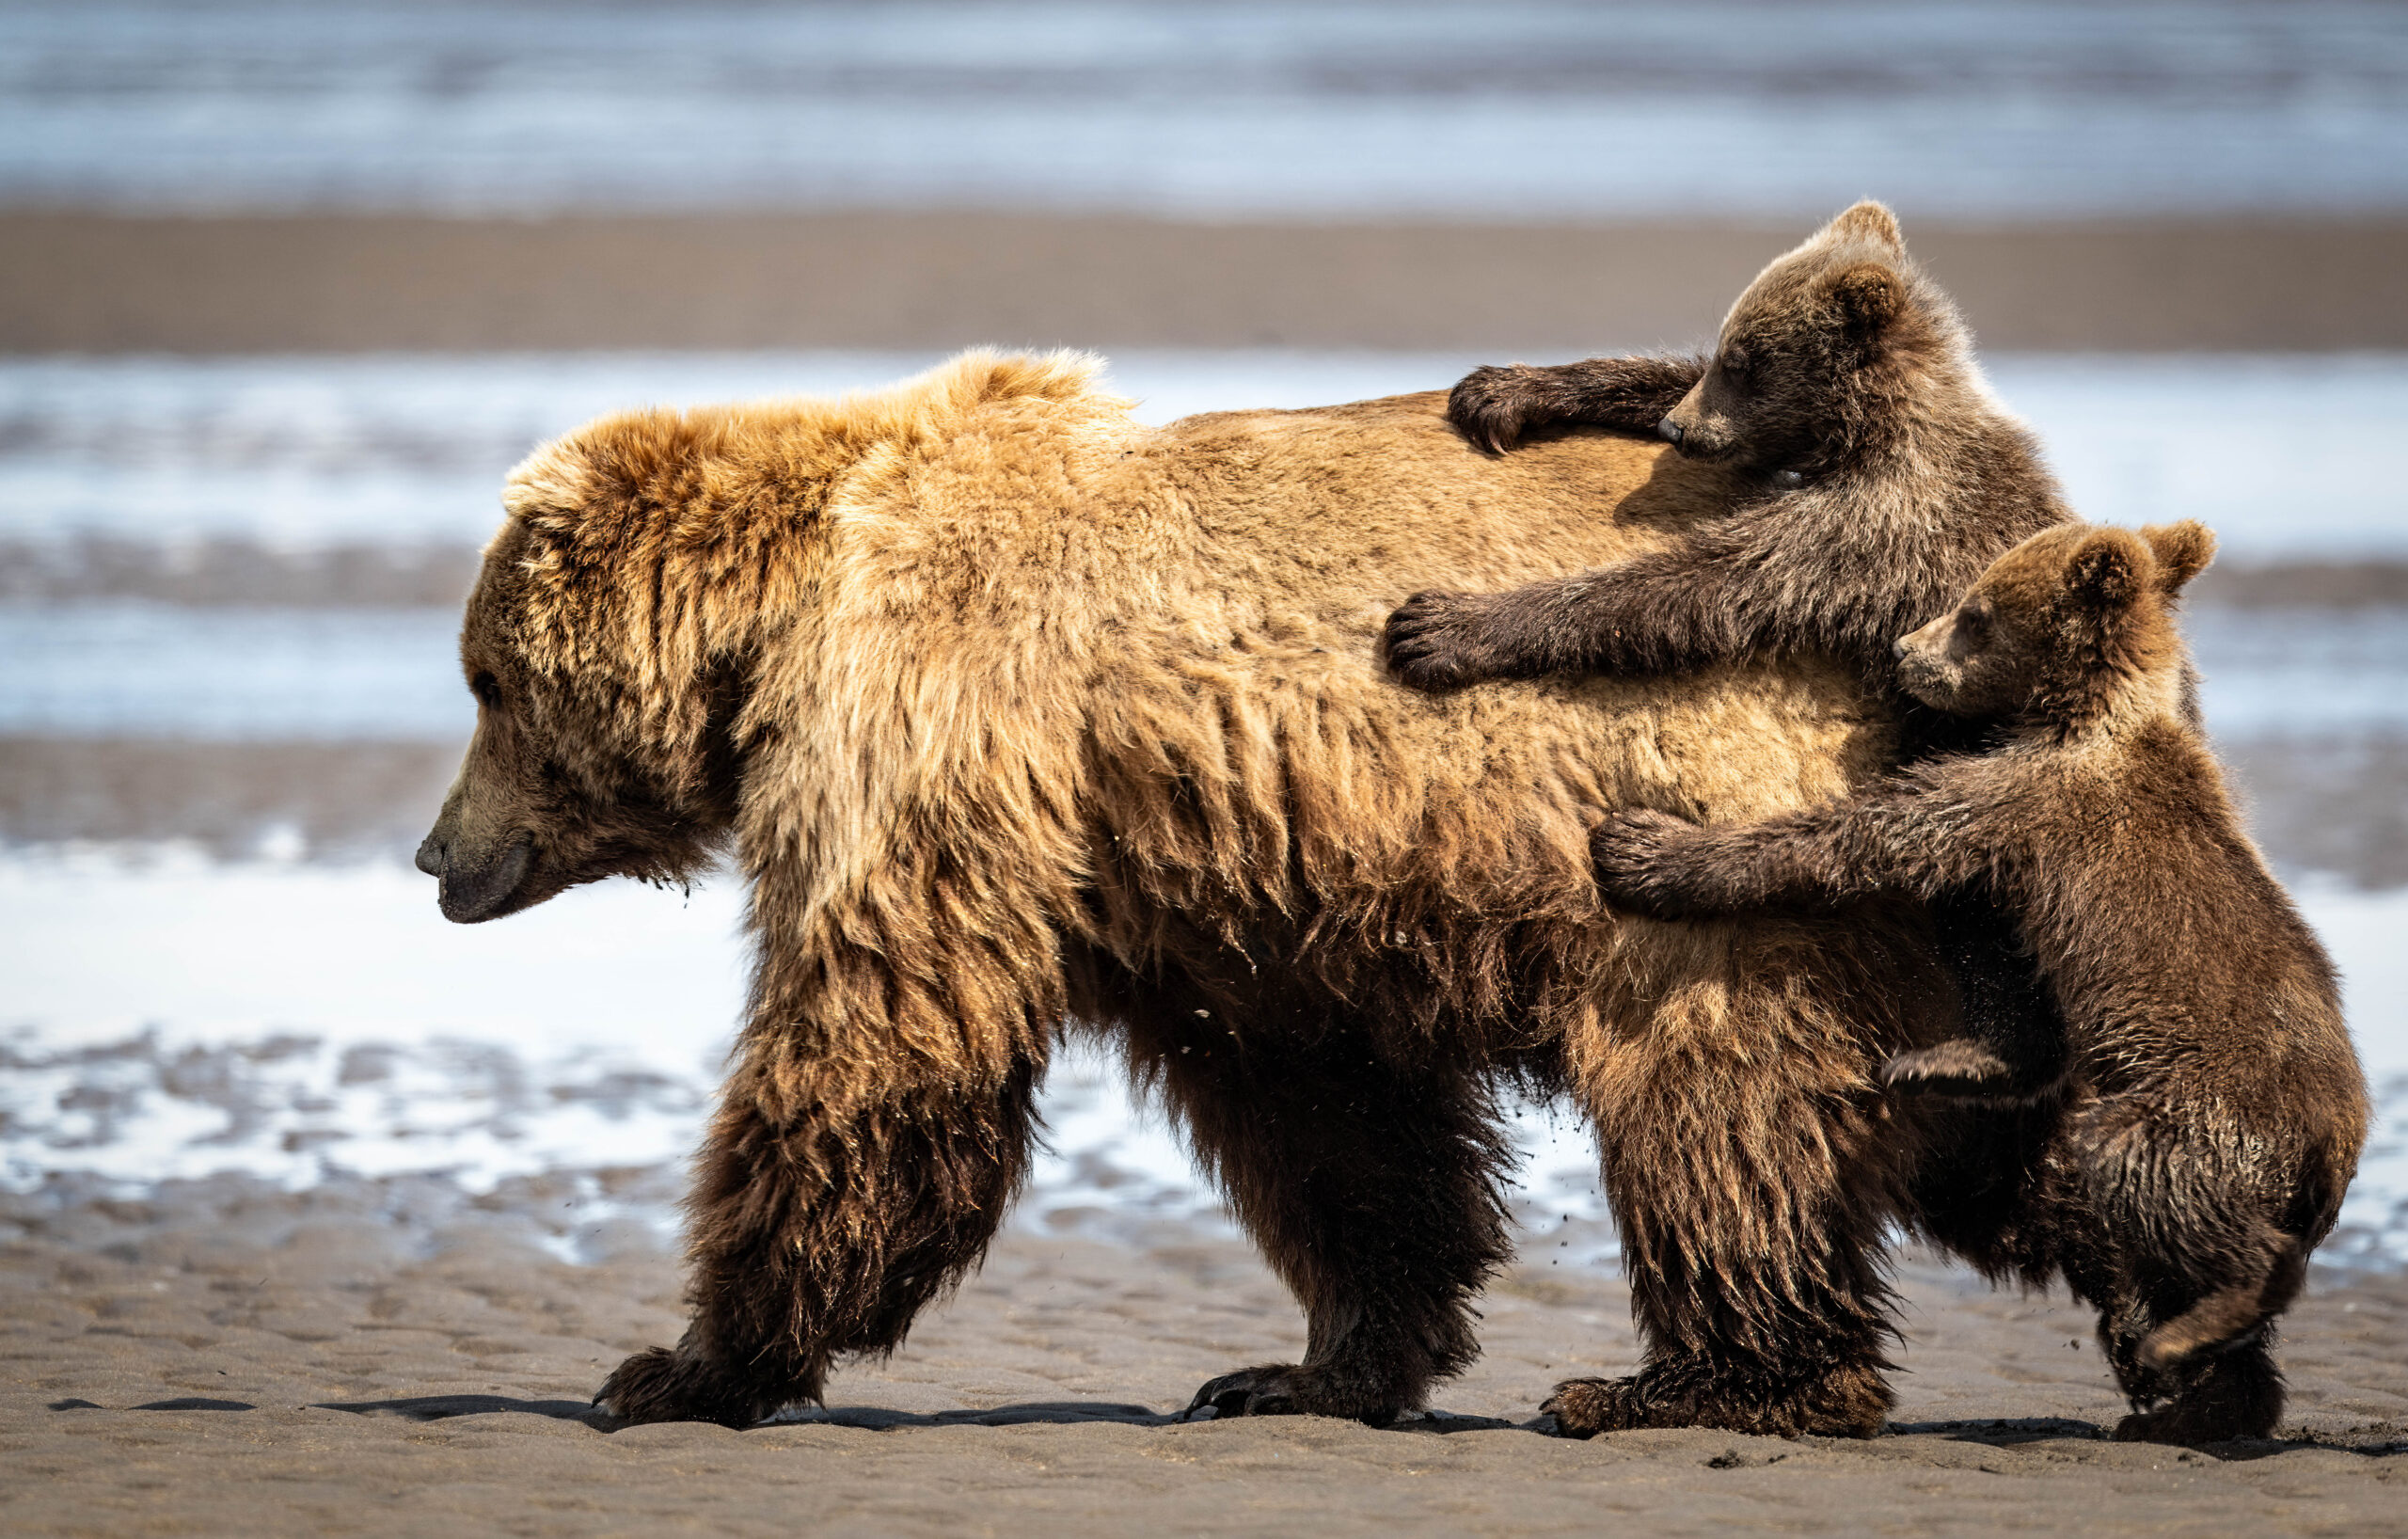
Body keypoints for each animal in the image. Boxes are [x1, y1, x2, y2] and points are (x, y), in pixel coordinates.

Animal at [415, 349, 1979, 1438]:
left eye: (483, 679)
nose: (434, 856)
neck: (787, 613)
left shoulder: (933, 731)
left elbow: (877, 1043)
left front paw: (677, 1366)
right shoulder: (1219, 893)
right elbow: (1334, 1121)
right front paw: (1308, 1365)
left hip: (1701, 822)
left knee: (1713, 1103)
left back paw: (1710, 1378)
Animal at [1587, 520, 2370, 1444]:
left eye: (1975, 614)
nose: (1904, 649)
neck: (2086, 714)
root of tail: (2337, 1142)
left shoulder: (2018, 797)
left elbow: (1857, 839)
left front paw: (1645, 848)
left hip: (2200, 1115)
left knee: (2140, 1174)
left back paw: (2199, 1326)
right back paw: (2190, 1396)